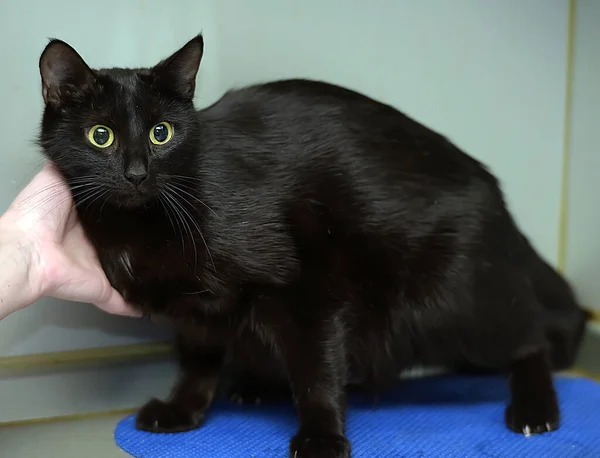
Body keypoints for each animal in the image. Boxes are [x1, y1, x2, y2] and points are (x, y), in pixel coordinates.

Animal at [36, 35, 584, 458]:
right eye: (100, 136)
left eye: (160, 133)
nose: (136, 173)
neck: (140, 223)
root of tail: (497, 199)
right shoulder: (192, 312)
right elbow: (197, 361)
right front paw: (183, 410)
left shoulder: (307, 290)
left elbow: (316, 368)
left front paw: (322, 436)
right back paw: (256, 385)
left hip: (452, 297)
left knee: (533, 335)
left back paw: (535, 407)